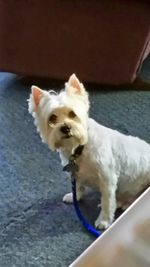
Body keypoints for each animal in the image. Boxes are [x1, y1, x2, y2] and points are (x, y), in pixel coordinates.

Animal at [28, 75, 150, 230]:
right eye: (52, 118)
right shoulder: (75, 173)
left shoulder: (107, 179)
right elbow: (78, 186)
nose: (66, 128)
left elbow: (107, 201)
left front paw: (104, 221)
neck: (79, 147)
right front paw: (75, 196)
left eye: (72, 114)